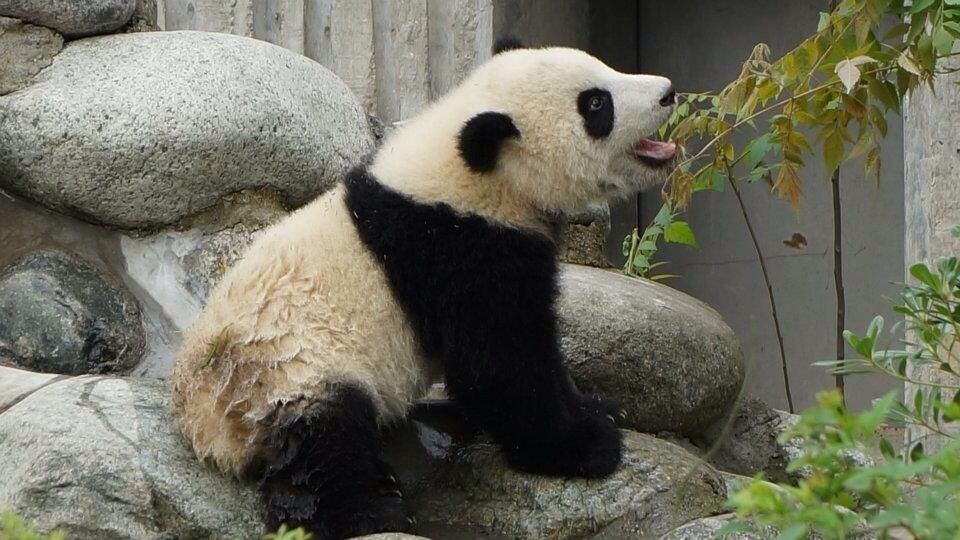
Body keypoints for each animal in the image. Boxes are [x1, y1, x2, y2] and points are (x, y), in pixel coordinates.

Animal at [170, 39, 677, 539]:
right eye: (596, 104)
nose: (668, 92)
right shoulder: (457, 248)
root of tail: (202, 427)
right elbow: (496, 365)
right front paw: (585, 446)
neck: (470, 172)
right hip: (284, 372)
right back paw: (370, 513)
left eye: (604, 68)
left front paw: (599, 407)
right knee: (324, 441)